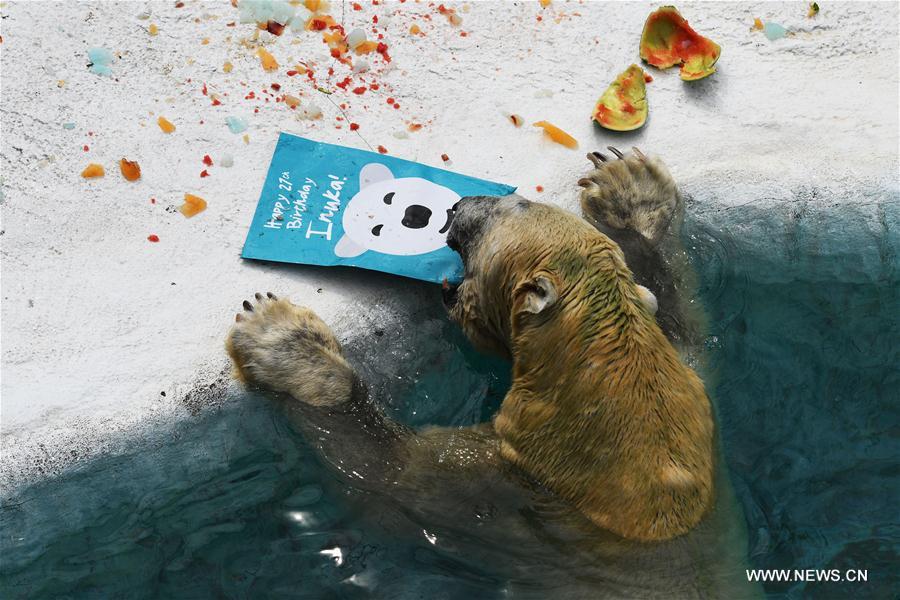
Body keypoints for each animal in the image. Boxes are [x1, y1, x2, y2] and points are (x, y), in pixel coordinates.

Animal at [226, 148, 761, 598]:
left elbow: (385, 471)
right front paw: (631, 193)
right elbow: (683, 322)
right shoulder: (694, 391)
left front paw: (285, 338)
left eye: (515, 204)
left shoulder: (511, 491)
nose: (457, 205)